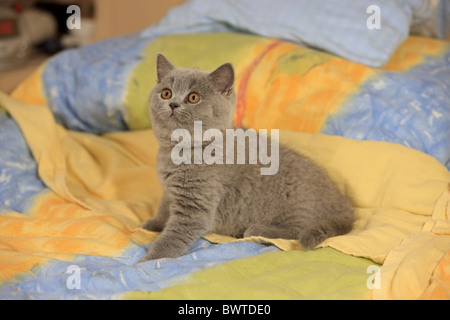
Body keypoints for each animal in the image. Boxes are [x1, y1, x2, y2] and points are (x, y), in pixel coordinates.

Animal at [141, 53, 356, 262]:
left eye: (193, 97)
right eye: (166, 93)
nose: (173, 104)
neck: (180, 151)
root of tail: (343, 204)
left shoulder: (196, 205)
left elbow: (173, 238)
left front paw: (148, 260)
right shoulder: (169, 190)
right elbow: (164, 208)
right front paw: (154, 224)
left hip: (295, 201)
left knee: (298, 229)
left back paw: (256, 230)